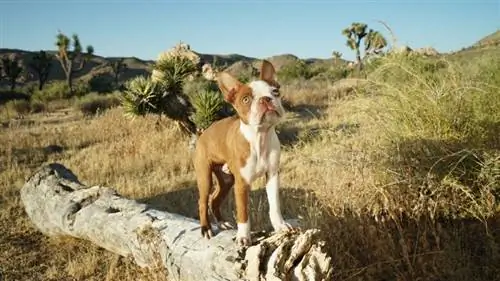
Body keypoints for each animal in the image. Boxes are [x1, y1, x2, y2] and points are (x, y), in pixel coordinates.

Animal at [192, 59, 292, 245]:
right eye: (246, 99)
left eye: (275, 91)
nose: (266, 99)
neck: (260, 138)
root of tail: (203, 133)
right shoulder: (242, 184)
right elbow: (243, 213)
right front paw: (244, 237)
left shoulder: (272, 176)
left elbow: (275, 205)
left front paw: (280, 226)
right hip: (205, 176)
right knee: (202, 201)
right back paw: (206, 228)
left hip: (226, 180)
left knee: (214, 199)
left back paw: (222, 222)